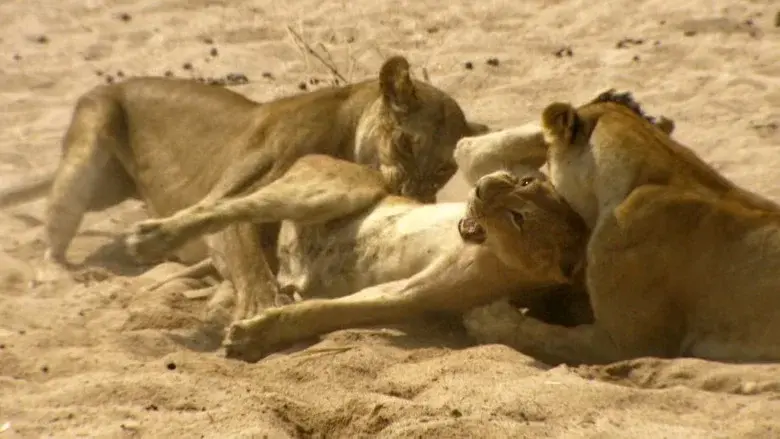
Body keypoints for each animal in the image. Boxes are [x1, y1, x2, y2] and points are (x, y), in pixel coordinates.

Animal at [0, 55, 487, 323]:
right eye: (405, 143)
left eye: (444, 170)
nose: (414, 195)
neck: (346, 128)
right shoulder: (229, 192)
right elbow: (245, 250)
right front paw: (258, 305)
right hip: (91, 139)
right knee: (55, 233)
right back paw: (65, 272)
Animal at [123, 153, 591, 362]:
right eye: (524, 180)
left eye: (519, 218)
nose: (481, 187)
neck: (491, 254)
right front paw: (252, 332)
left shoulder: (412, 295)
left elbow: (325, 313)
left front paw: (254, 335)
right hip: (330, 191)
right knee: (228, 207)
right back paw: (150, 238)